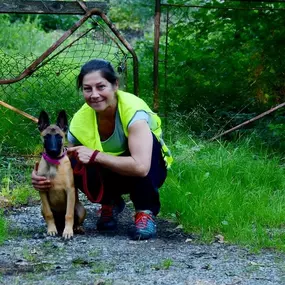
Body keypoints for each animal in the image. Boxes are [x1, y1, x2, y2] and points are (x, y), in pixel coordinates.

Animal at [36, 110, 85, 239]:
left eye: (59, 136)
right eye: (46, 137)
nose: (53, 150)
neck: (54, 163)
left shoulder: (70, 190)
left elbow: (69, 214)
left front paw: (68, 232)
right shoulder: (42, 191)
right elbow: (49, 214)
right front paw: (51, 230)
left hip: (81, 209)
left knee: (76, 220)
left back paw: (77, 228)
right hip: (41, 208)